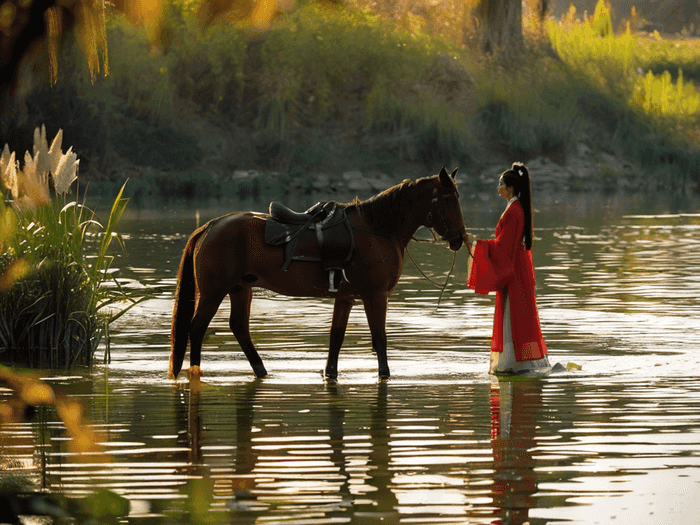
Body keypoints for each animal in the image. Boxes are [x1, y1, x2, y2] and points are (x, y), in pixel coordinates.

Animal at [167, 166, 468, 378]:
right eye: (448, 198)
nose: (459, 239)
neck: (376, 229)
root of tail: (210, 225)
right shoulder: (375, 296)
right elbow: (380, 339)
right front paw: (384, 374)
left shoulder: (346, 298)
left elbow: (336, 338)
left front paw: (329, 374)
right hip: (214, 291)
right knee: (196, 328)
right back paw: (195, 372)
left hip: (241, 288)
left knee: (239, 327)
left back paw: (261, 371)